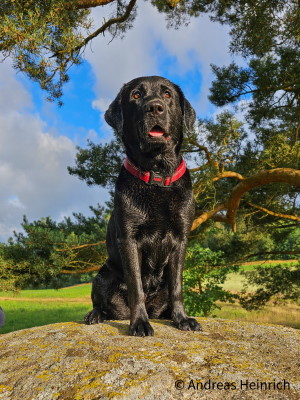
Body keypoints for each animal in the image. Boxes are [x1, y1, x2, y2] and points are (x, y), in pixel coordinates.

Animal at [84, 76, 202, 336]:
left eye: (167, 95)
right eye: (136, 95)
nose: (155, 107)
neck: (157, 175)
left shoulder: (181, 239)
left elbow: (177, 287)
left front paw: (182, 319)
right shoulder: (129, 239)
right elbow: (136, 285)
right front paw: (139, 322)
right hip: (102, 276)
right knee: (102, 304)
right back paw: (94, 315)